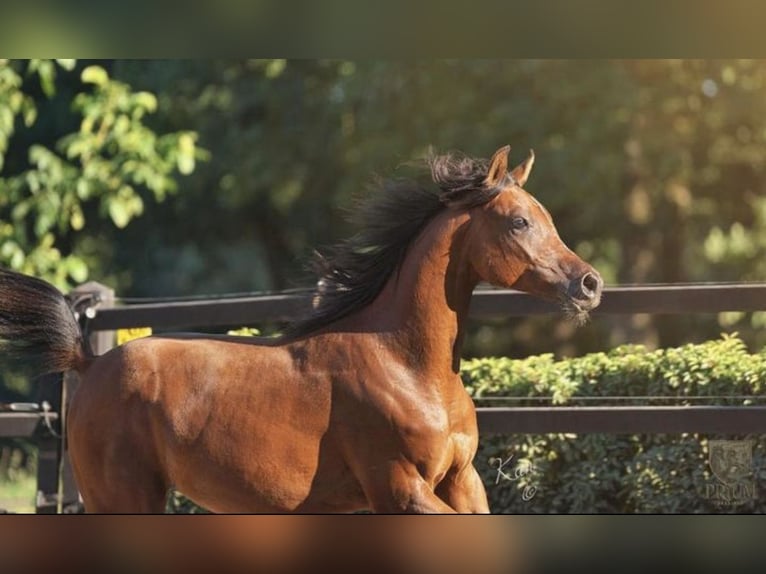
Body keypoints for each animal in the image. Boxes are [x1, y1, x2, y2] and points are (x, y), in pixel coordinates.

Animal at [0, 145, 602, 513]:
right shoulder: (398, 487)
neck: (407, 366)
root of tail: (90, 363)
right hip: (123, 496)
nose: (589, 283)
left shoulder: (461, 479)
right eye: (519, 222)